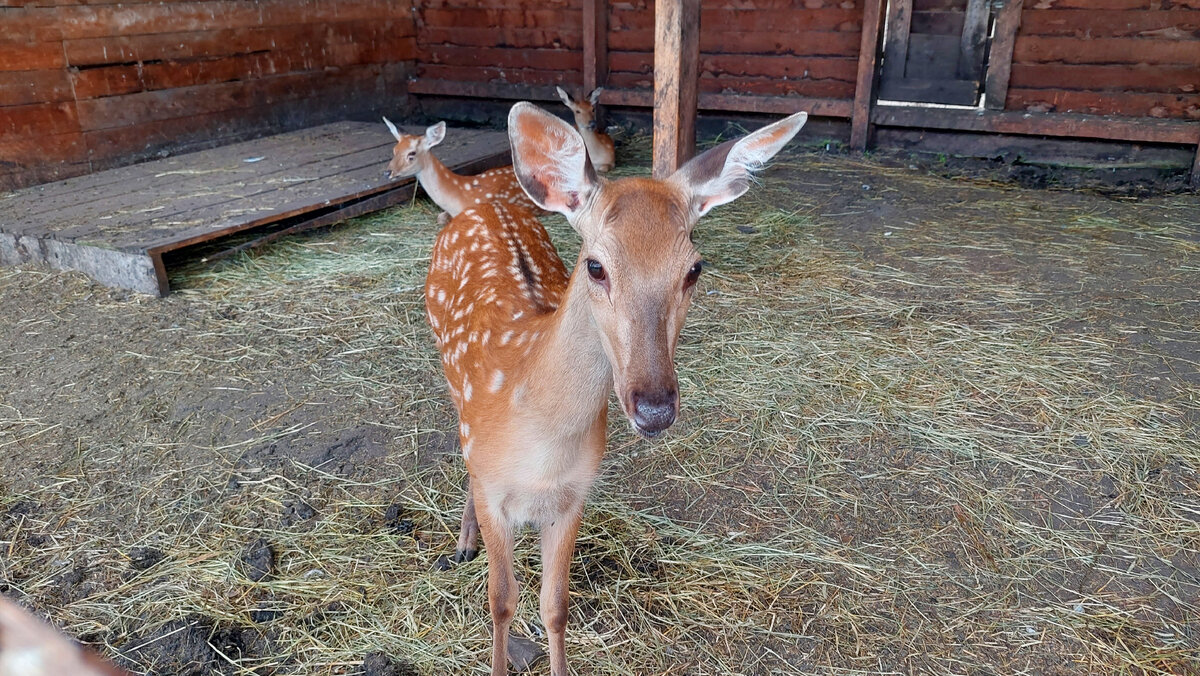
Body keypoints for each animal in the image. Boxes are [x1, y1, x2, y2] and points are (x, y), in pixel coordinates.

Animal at [422, 102, 806, 676]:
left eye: (694, 268)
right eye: (596, 265)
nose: (654, 406)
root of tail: (479, 207)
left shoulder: (576, 494)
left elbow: (555, 606)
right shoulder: (494, 490)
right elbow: (501, 601)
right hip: (448, 373)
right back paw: (465, 542)